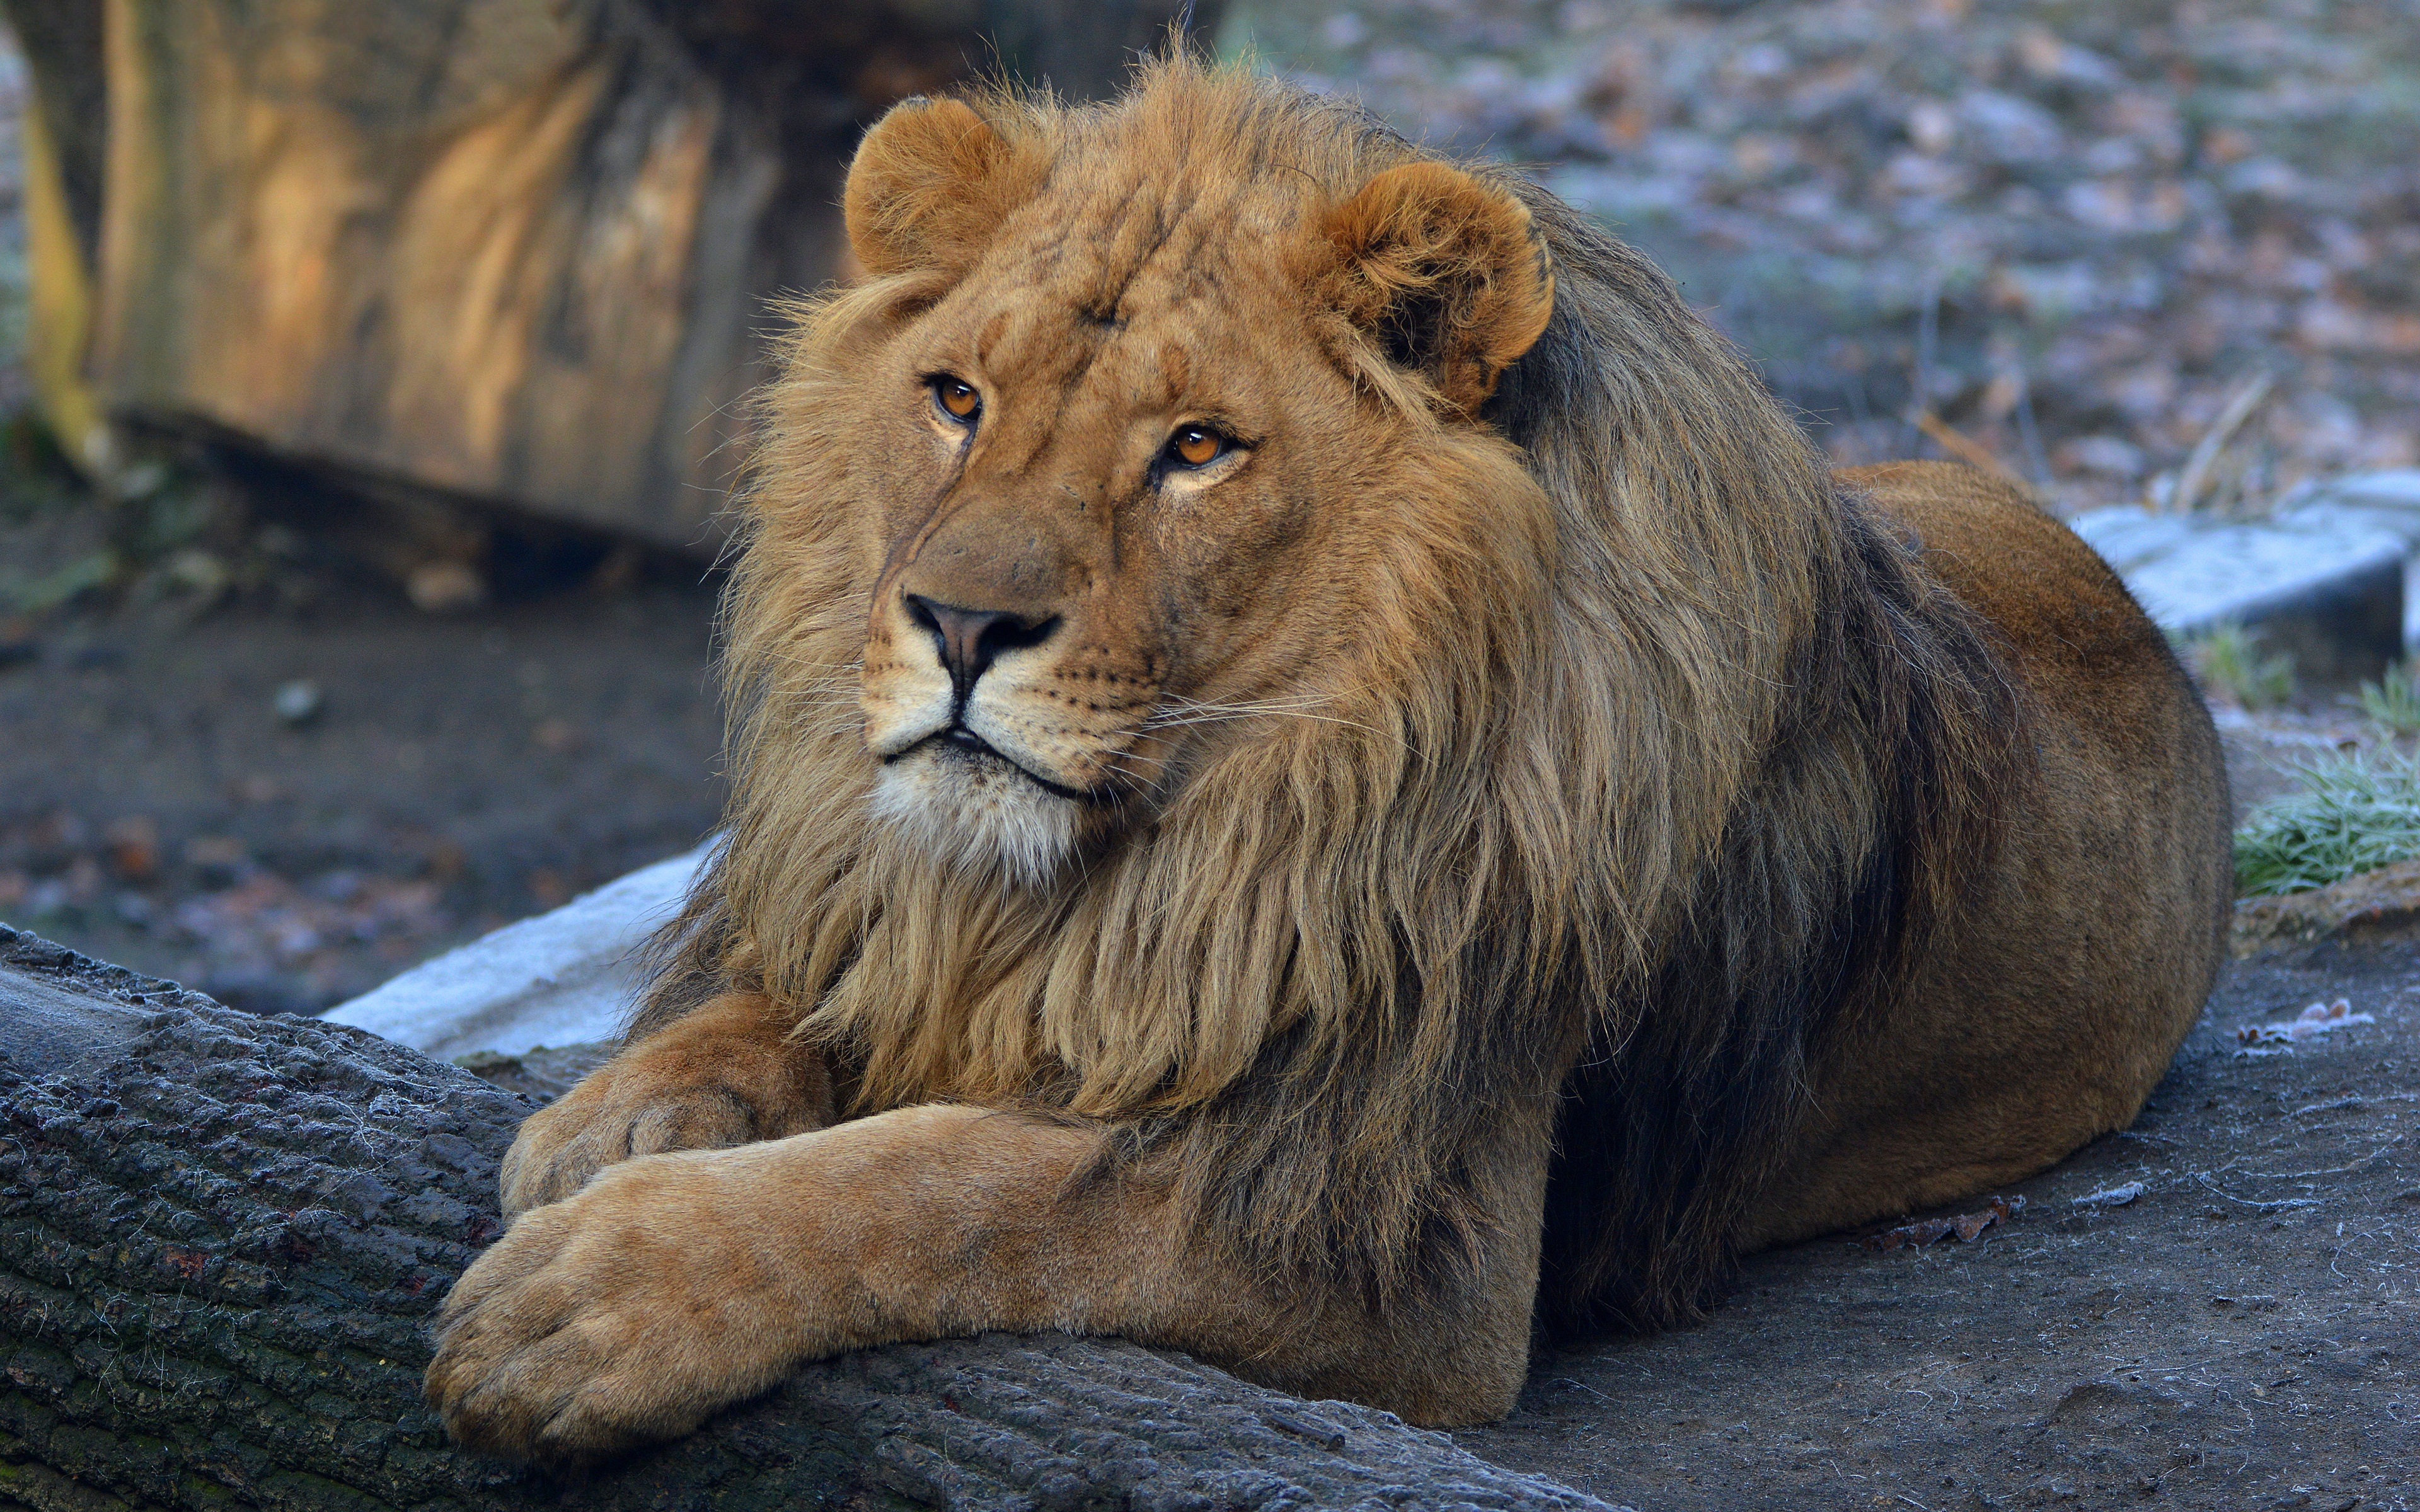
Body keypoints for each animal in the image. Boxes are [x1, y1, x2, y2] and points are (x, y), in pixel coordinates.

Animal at [421, 53, 2226, 1461]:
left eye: (1197, 449)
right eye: (954, 398)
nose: (957, 623)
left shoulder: (1390, 1227)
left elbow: (952, 1182)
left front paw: (600, 1292)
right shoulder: (904, 922)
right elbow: (781, 1002)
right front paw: (614, 1124)